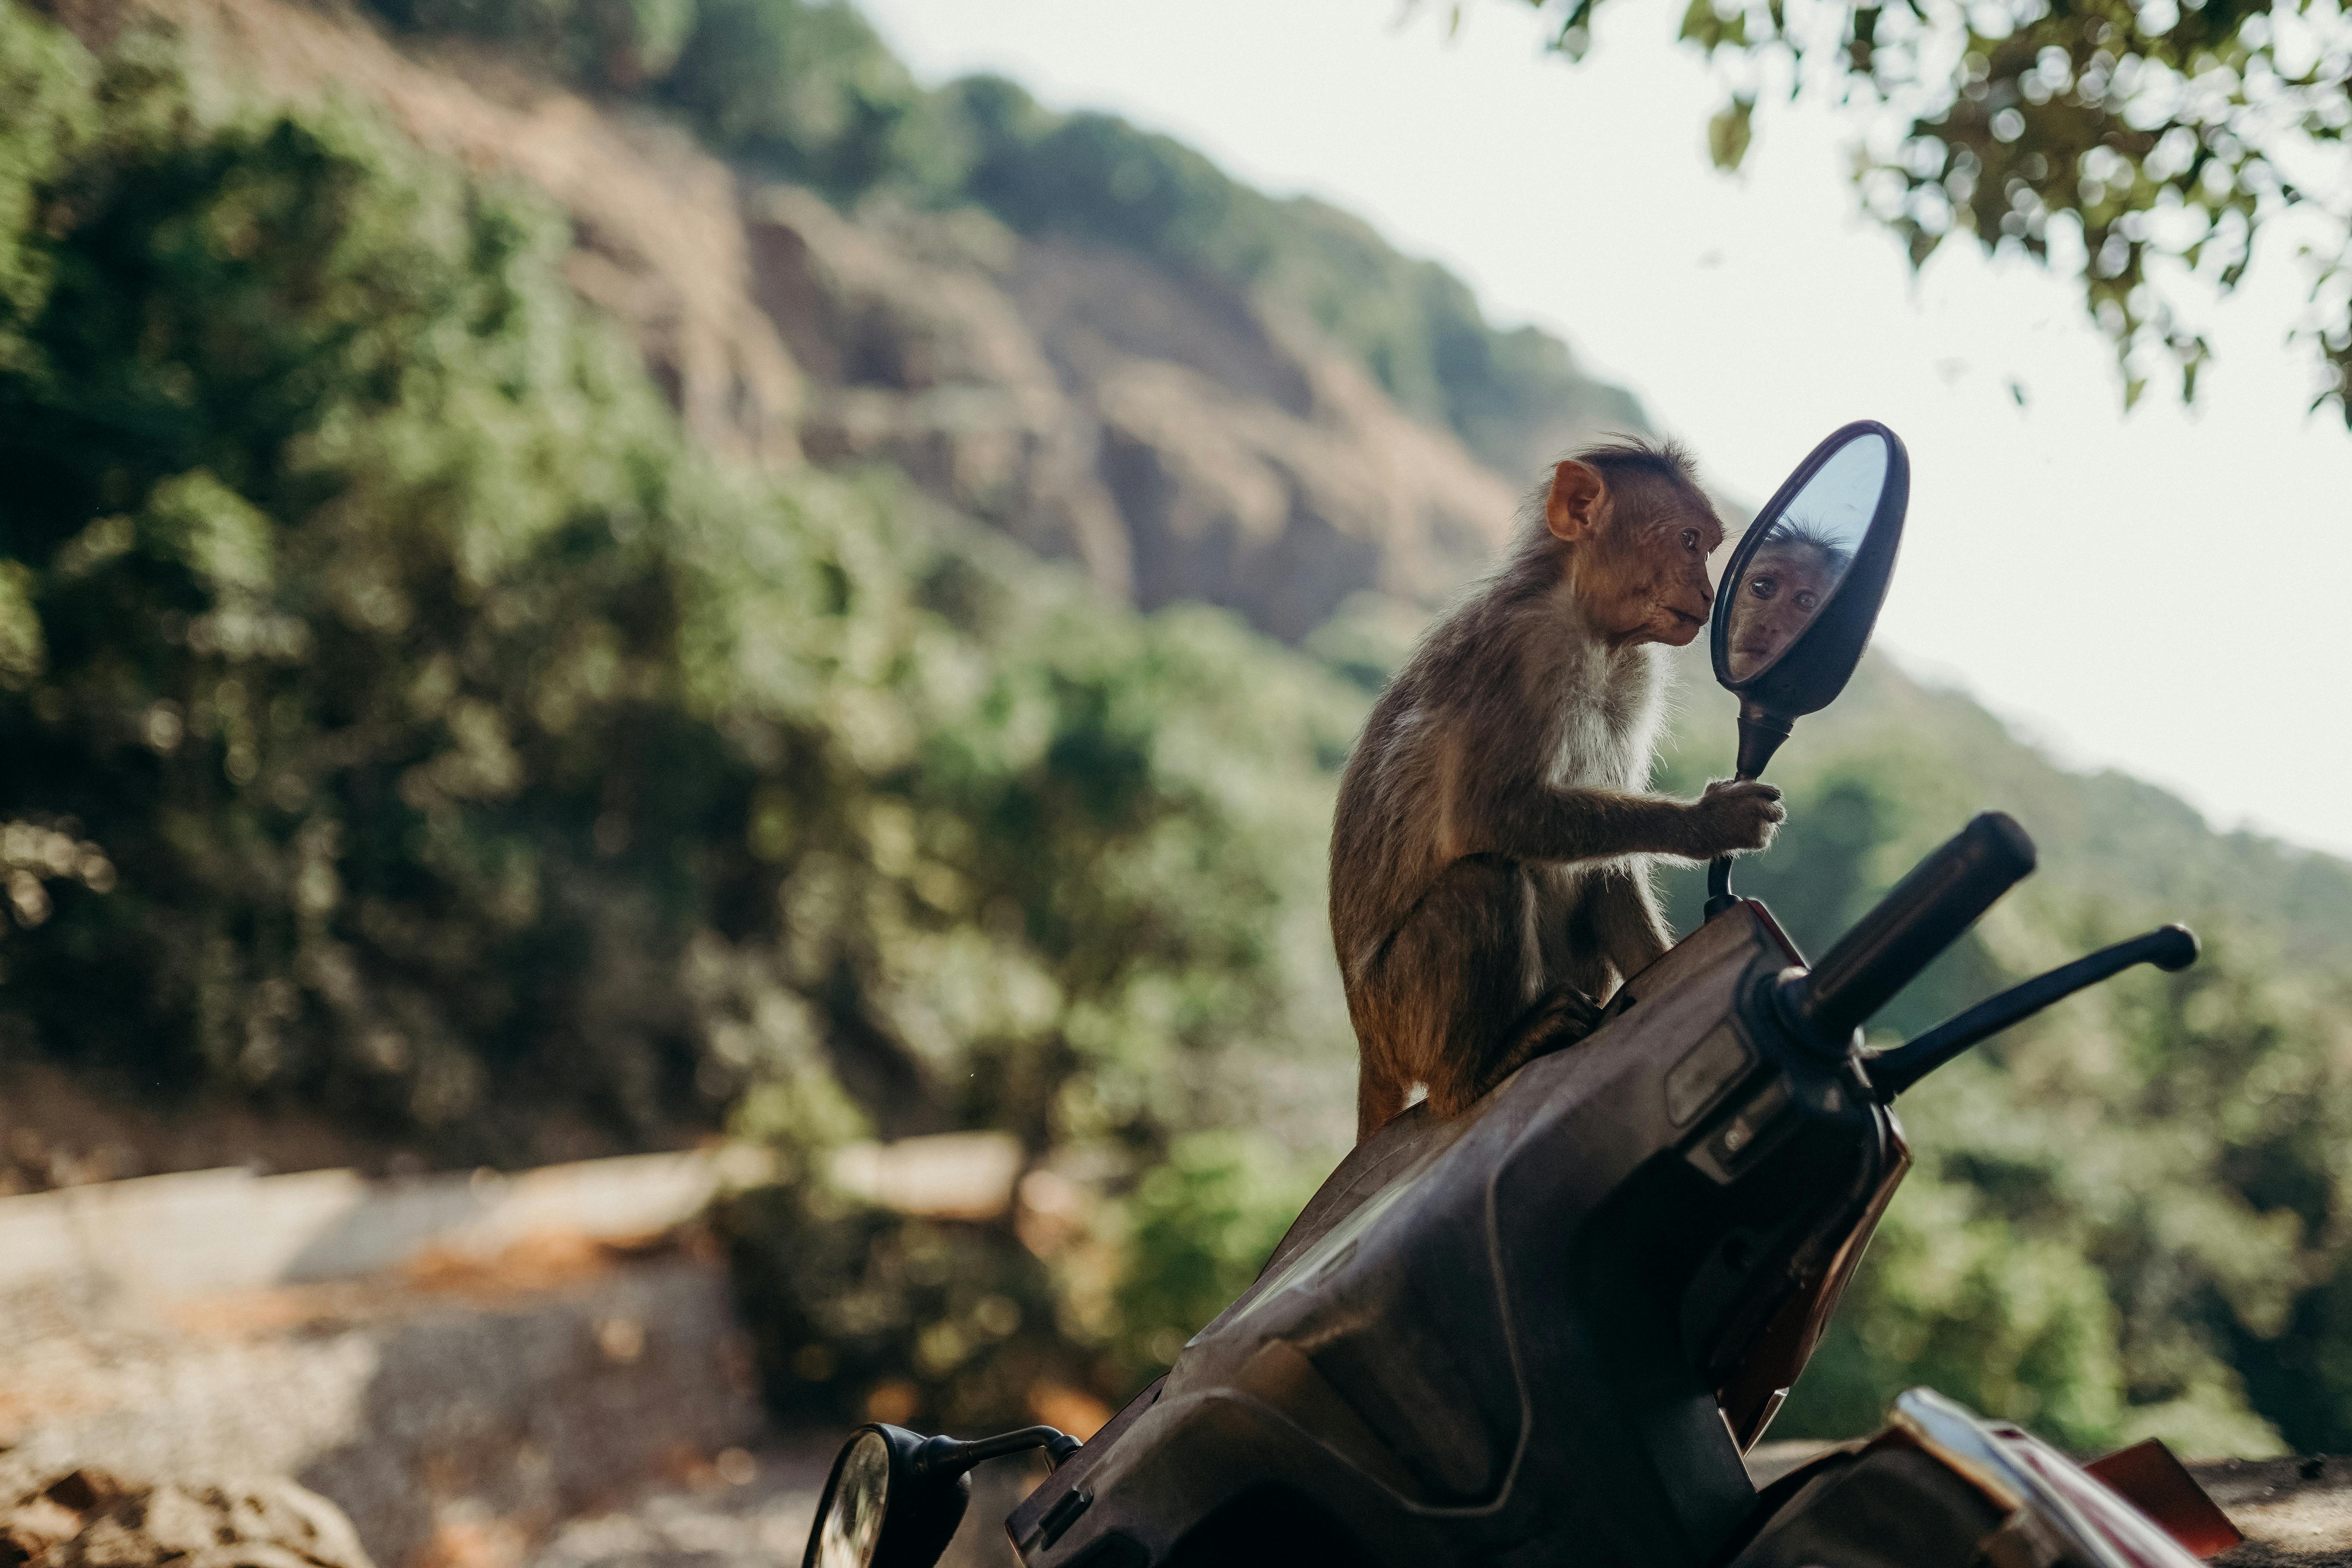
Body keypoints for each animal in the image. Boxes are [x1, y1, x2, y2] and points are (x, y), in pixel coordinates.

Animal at [1326, 435, 1778, 1147]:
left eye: (1705, 547)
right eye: (1687, 541)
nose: (1709, 591)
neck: (1592, 632)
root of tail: (1369, 1041)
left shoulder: (1637, 670)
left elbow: (1609, 869)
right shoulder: (1522, 649)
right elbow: (1488, 814)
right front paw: (1710, 823)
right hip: (1403, 1011)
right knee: (1484, 879)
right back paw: (1476, 1074)